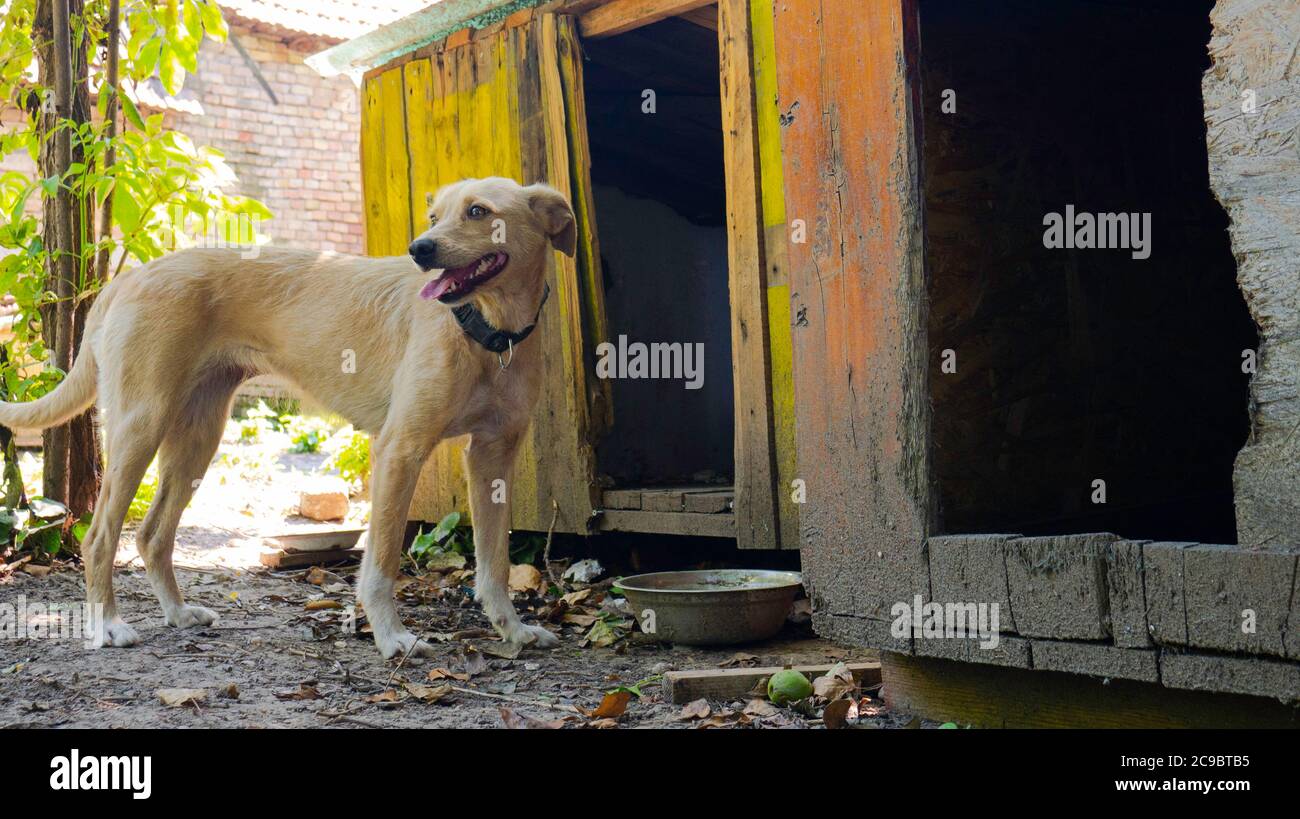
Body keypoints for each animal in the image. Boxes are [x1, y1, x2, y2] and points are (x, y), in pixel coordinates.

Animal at [0, 178, 574, 660]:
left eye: (479, 212)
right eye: (435, 215)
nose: (420, 250)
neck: (485, 333)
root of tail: (130, 277)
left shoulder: (493, 456)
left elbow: (495, 562)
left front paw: (514, 630)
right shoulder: (400, 448)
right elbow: (383, 562)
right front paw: (391, 637)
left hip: (196, 441)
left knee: (152, 536)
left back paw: (178, 614)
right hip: (140, 428)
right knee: (99, 537)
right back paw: (109, 626)